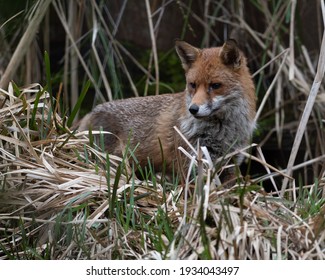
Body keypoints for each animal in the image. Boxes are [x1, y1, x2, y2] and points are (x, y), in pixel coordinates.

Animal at [78, 39, 256, 179]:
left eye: (215, 85)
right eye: (193, 85)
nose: (193, 109)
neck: (224, 133)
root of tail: (91, 112)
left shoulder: (231, 166)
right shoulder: (191, 164)